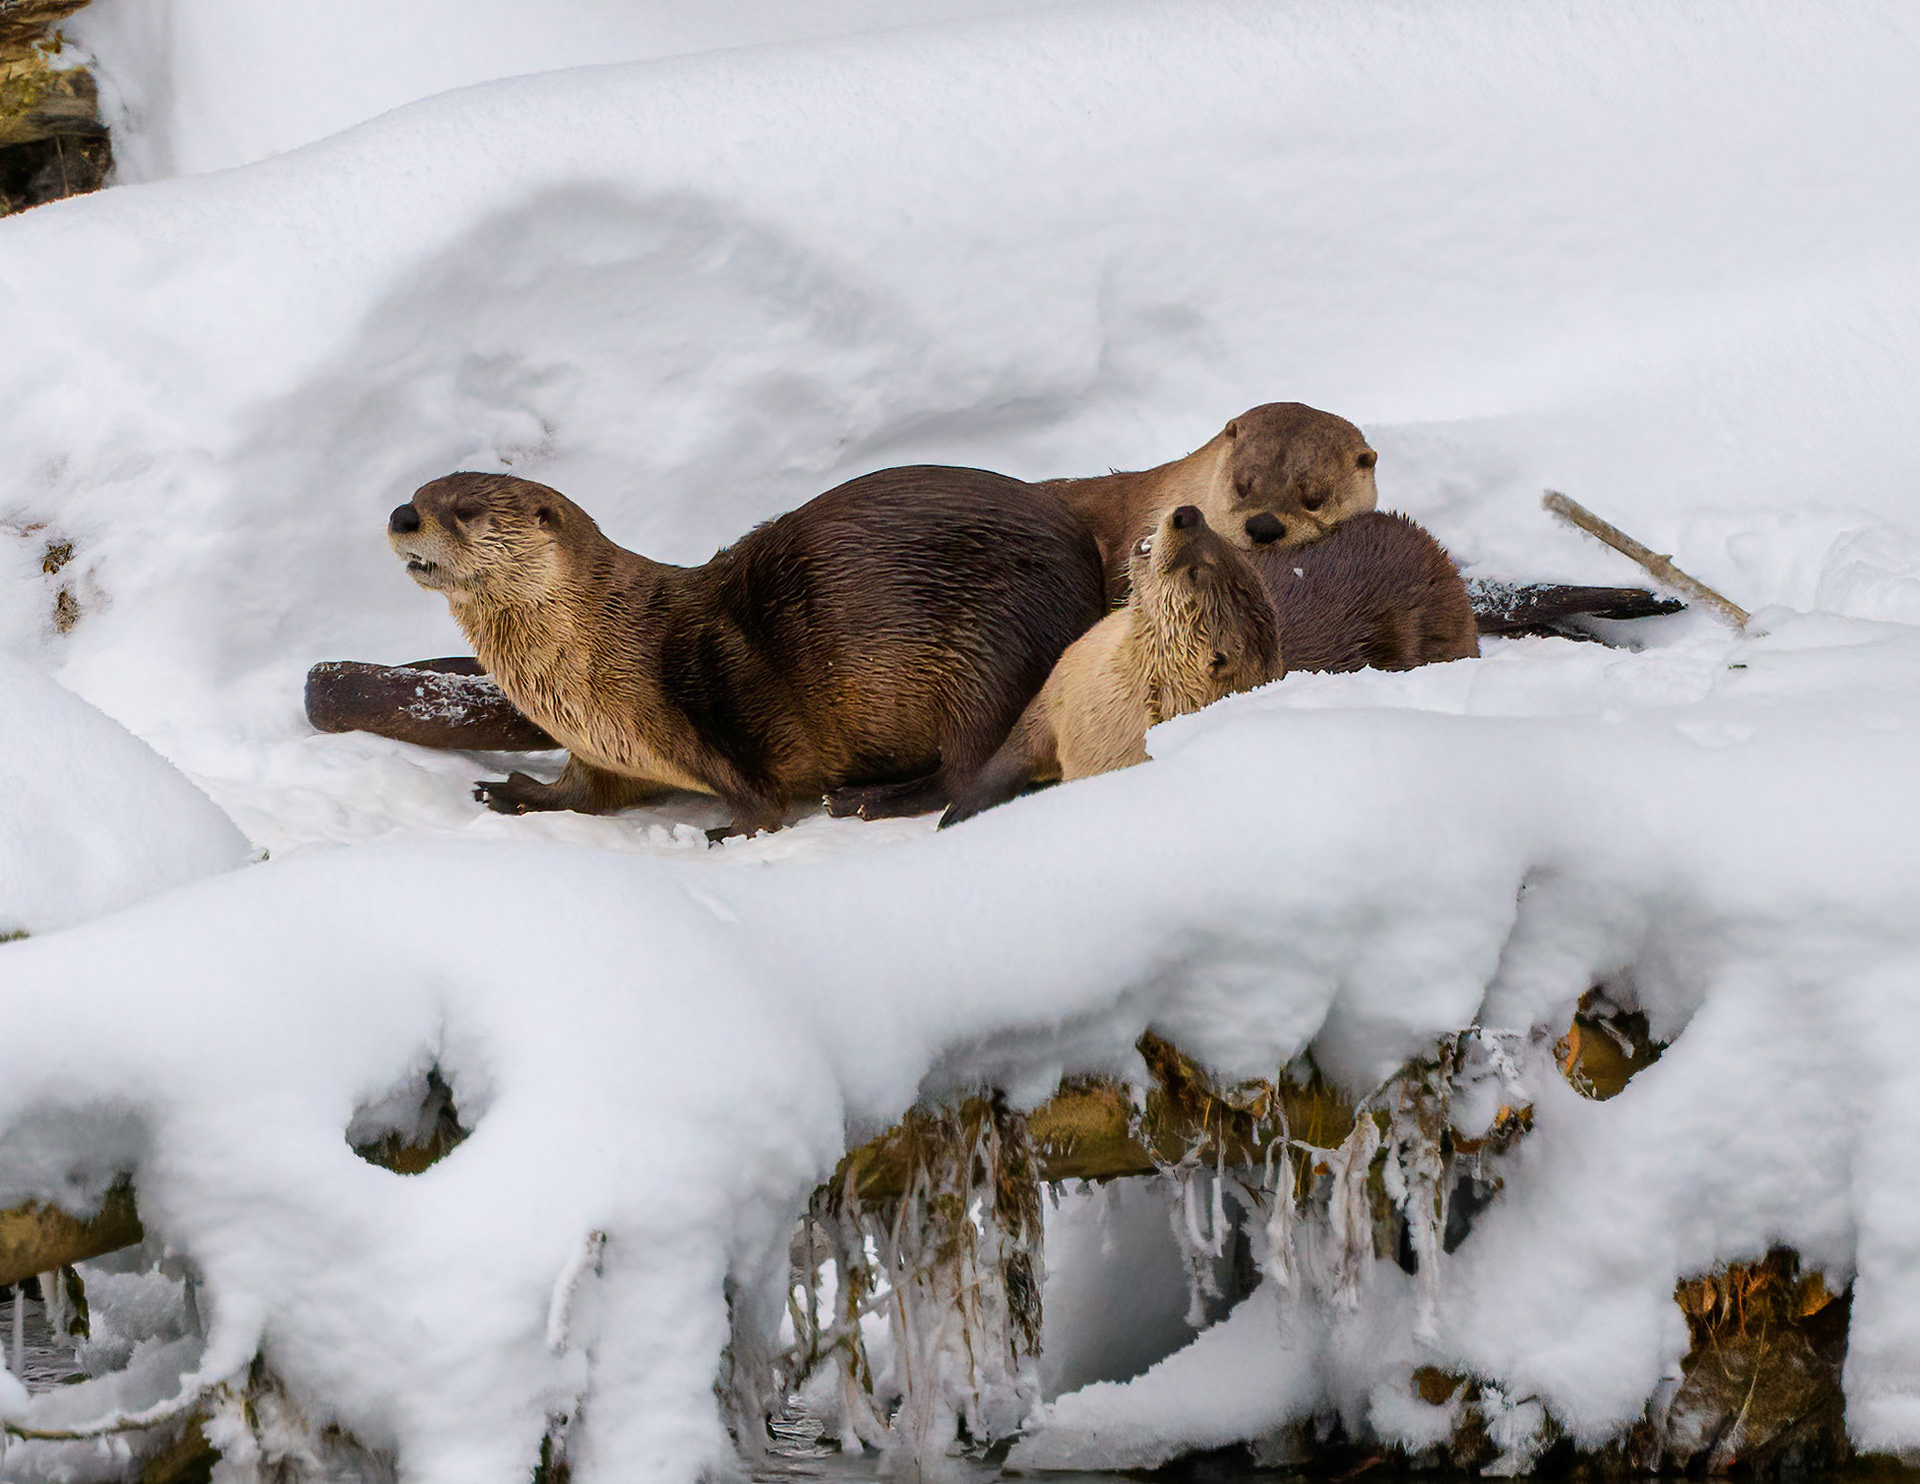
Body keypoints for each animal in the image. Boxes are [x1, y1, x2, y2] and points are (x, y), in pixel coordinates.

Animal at [388, 467, 1106, 836]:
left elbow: (759, 788)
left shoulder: (713, 705)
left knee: (968, 767)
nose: (403, 514)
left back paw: (868, 800)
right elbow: (587, 792)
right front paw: (521, 793)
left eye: (465, 508)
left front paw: (734, 829)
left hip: (987, 654)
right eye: (420, 494)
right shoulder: (600, 749)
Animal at [939, 504, 1282, 827]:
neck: (1107, 699)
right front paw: (959, 809)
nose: (1188, 514)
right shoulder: (1058, 685)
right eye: (1222, 540)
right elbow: (1020, 742)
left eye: (1195, 572)